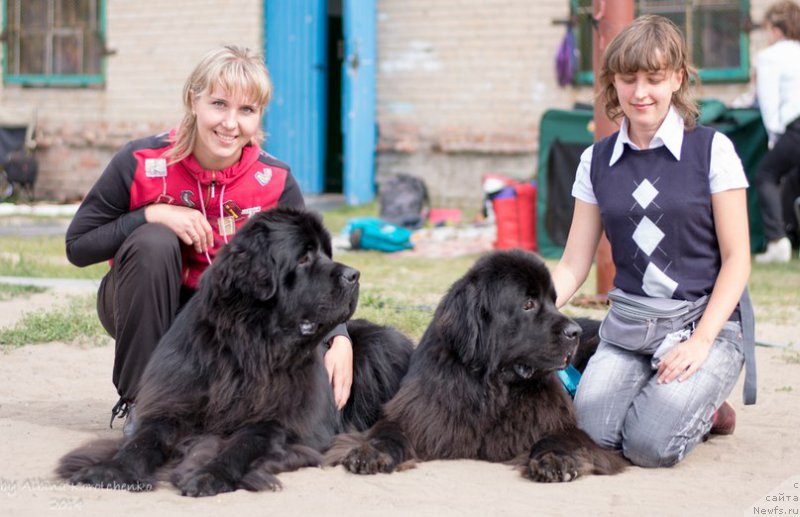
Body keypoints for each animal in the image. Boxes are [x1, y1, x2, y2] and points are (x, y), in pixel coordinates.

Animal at [57, 207, 412, 496]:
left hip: (382, 346)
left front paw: (209, 474)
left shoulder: (284, 424)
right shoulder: (174, 404)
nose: (355, 275)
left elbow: (246, 442)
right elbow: (145, 438)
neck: (249, 347)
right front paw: (112, 470)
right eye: (303, 257)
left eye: (326, 252)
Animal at [328, 248, 628, 482]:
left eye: (553, 301)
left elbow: (561, 437)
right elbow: (388, 430)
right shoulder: (419, 414)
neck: (493, 388)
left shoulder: (555, 420)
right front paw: (370, 452)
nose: (574, 332)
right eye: (528, 304)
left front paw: (555, 460)